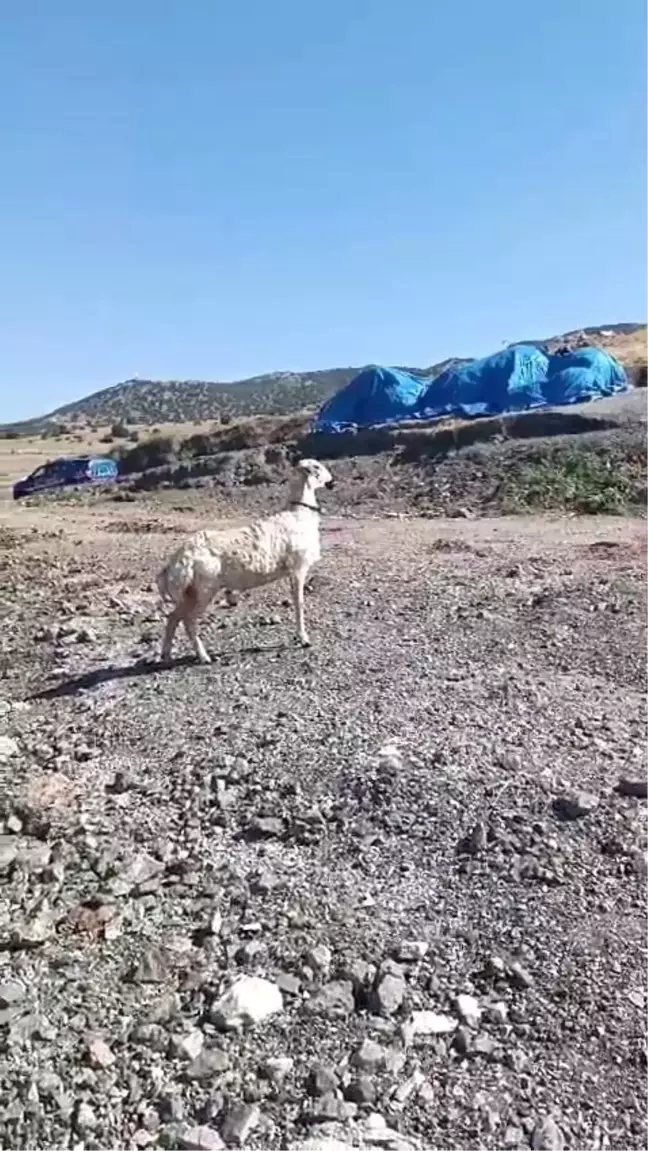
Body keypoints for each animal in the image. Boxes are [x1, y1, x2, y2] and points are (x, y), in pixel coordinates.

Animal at [156, 453, 333, 662]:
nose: (332, 482)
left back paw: (166, 654)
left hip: (189, 593)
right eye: (317, 467)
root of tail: (177, 563)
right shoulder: (298, 568)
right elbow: (299, 602)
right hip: (203, 589)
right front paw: (303, 639)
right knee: (188, 620)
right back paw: (203, 656)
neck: (298, 514)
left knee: (173, 617)